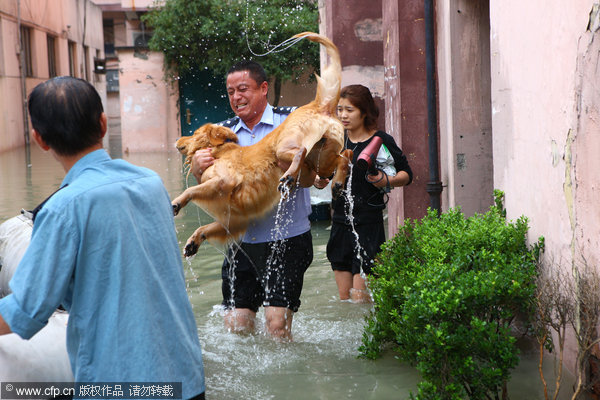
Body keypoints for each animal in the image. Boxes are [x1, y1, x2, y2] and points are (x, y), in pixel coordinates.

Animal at [172, 31, 352, 256]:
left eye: (194, 133)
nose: (177, 140)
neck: (219, 151)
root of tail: (319, 104)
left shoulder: (225, 181)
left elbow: (190, 191)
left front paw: (176, 203)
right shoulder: (235, 219)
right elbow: (206, 227)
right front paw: (193, 241)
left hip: (286, 147)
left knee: (301, 150)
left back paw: (289, 176)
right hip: (322, 159)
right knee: (345, 157)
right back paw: (337, 182)